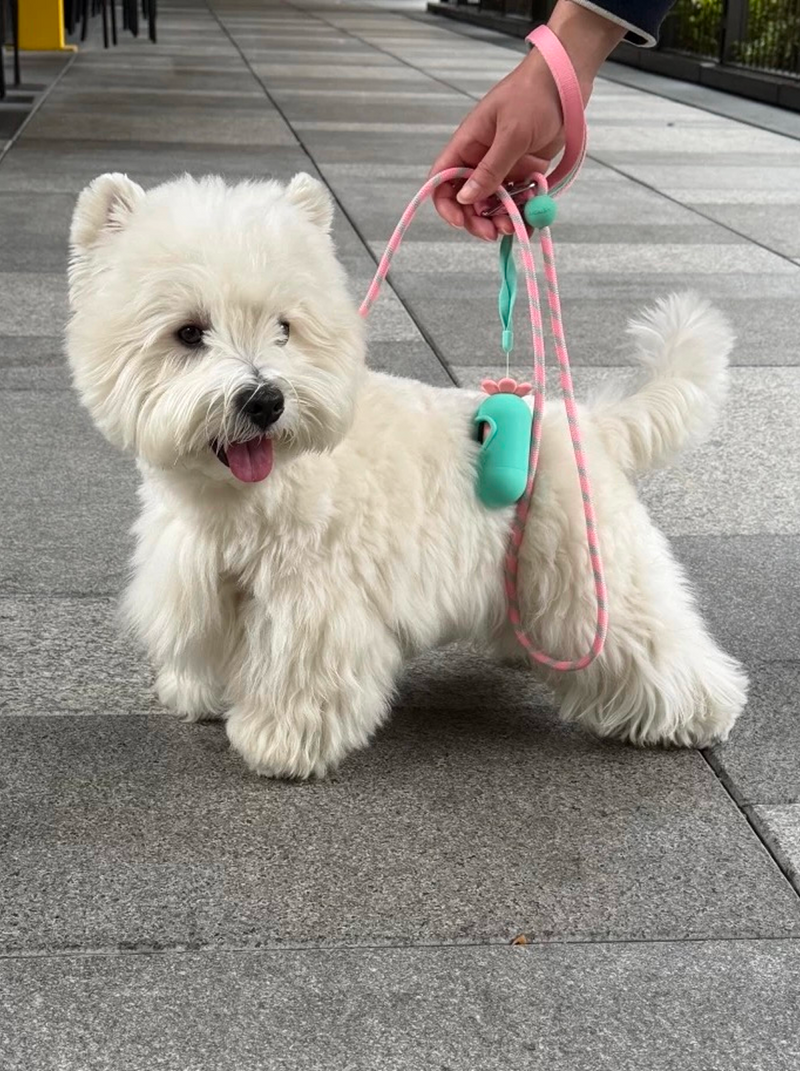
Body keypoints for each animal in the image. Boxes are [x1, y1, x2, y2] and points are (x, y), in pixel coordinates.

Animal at [66, 171, 748, 778]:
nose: (265, 401)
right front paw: (197, 694)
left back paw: (700, 713)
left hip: (590, 571)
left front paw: (280, 744)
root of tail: (587, 424)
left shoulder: (314, 602)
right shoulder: (197, 577)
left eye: (284, 328)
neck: (240, 497)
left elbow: (299, 676)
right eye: (188, 332)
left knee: (654, 645)